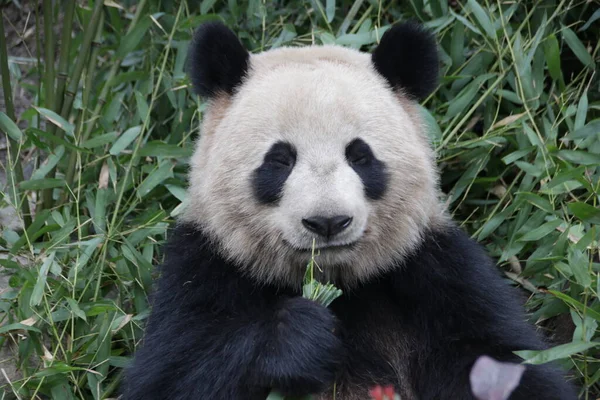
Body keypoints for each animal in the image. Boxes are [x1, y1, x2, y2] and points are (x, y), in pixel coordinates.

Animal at [123, 21, 576, 400]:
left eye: (360, 156)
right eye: (280, 160)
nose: (327, 222)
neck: (337, 282)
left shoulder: (439, 270)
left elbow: (507, 363)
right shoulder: (205, 265)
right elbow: (172, 375)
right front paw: (300, 337)